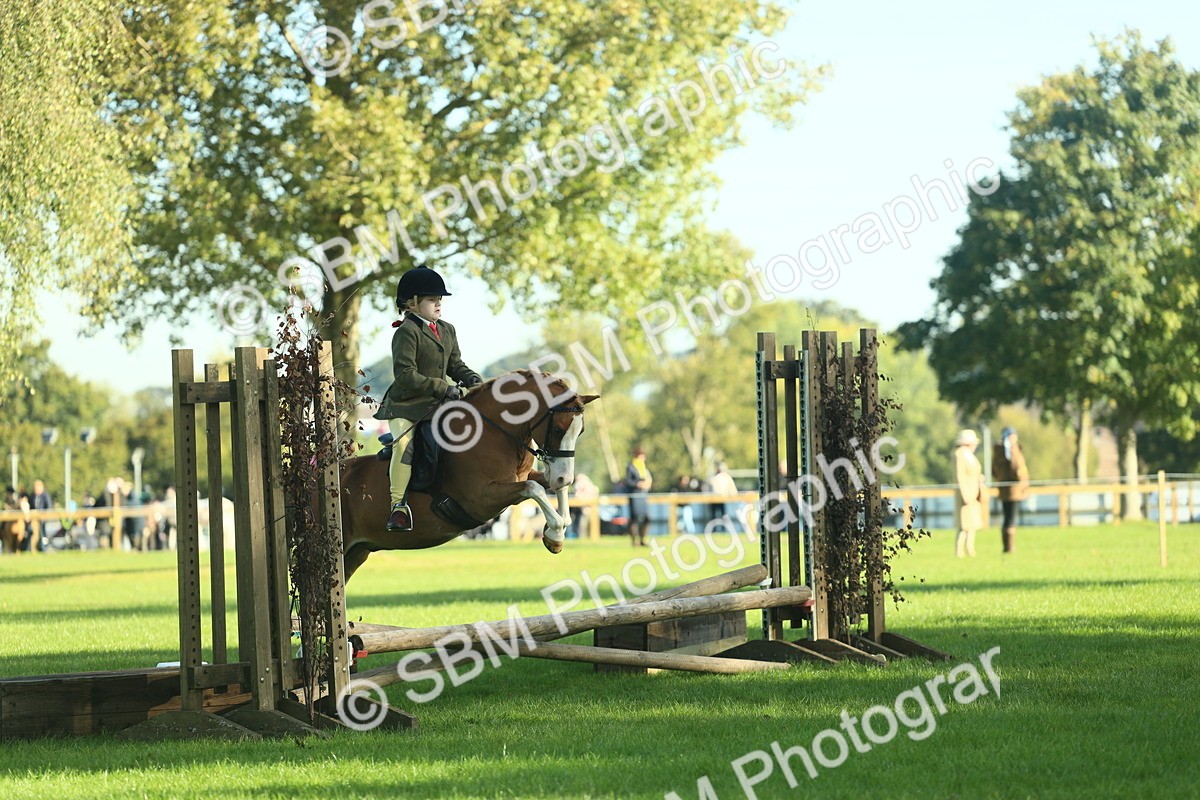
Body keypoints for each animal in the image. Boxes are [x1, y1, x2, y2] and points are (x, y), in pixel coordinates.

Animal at [340, 370, 598, 582]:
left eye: (581, 431)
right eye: (557, 430)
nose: (564, 477)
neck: (495, 434)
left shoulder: (521, 477)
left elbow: (548, 486)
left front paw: (557, 528)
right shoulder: (482, 497)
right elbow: (534, 488)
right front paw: (555, 533)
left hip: (356, 553)